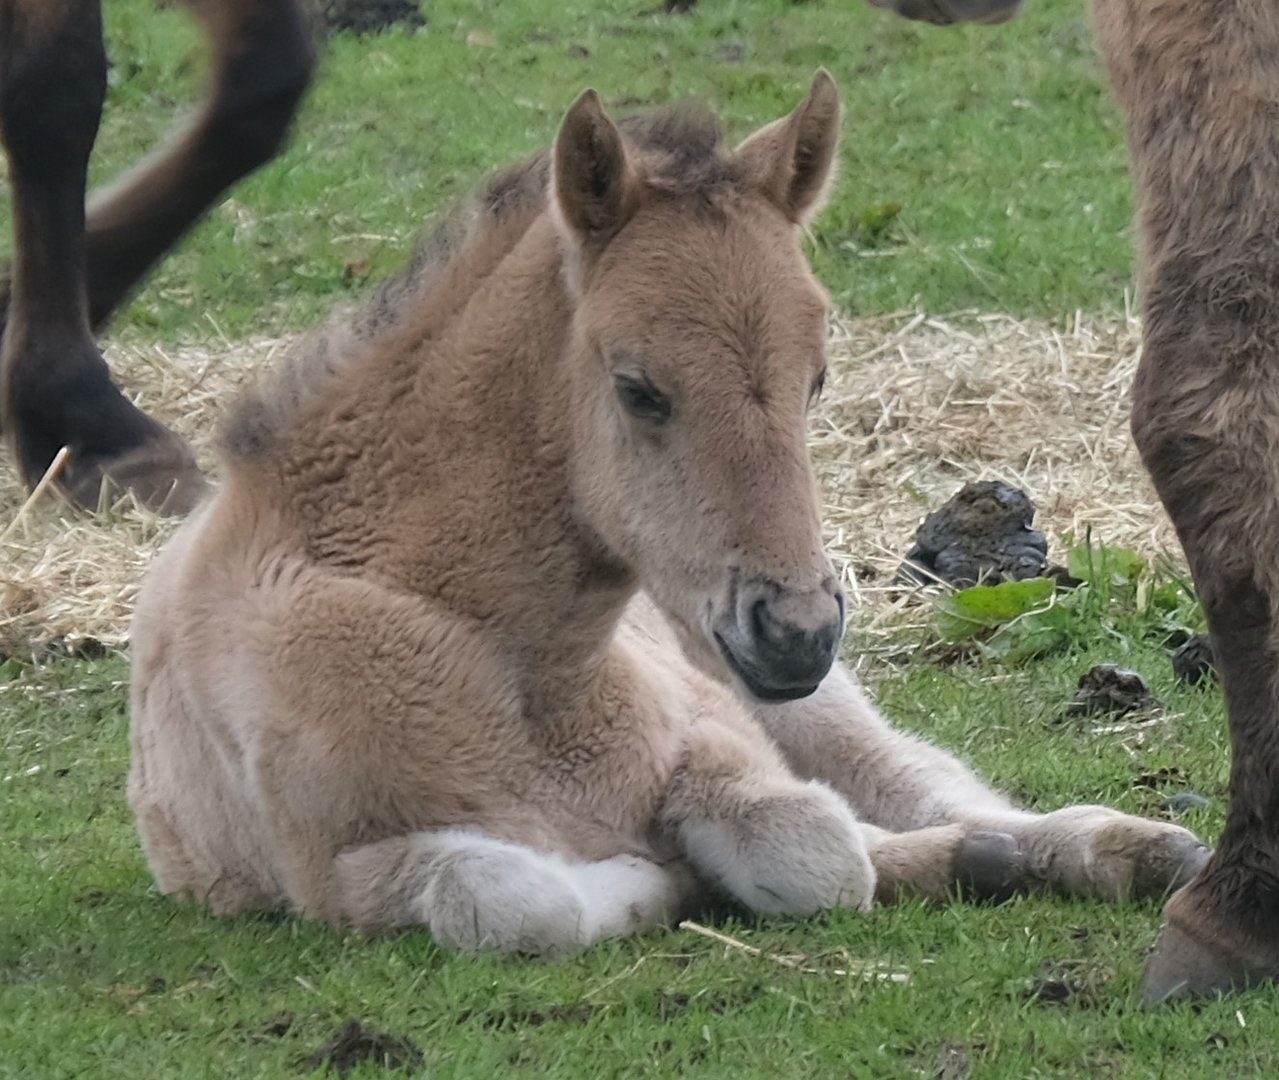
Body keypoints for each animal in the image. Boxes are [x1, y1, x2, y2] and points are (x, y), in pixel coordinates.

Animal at [129, 78, 1207, 952]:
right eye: (638, 390)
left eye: (816, 380)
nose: (796, 632)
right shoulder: (331, 875)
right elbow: (515, 900)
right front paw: (656, 883)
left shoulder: (717, 733)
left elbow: (818, 848)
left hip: (810, 703)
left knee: (920, 782)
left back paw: (1119, 849)